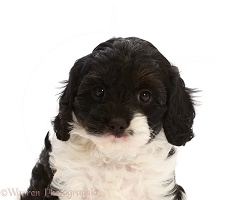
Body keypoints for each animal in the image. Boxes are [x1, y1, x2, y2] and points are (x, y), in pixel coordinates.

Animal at [20, 36, 195, 199]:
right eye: (99, 91)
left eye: (145, 96)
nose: (117, 124)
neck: (115, 158)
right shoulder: (69, 183)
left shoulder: (157, 188)